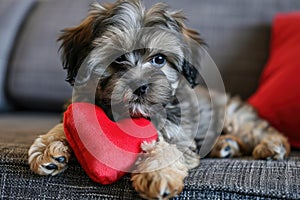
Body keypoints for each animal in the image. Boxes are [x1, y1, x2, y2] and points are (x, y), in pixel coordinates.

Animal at [28, 0, 290, 199]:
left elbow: (167, 148)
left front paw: (158, 174)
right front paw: (49, 149)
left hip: (232, 116)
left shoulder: (177, 131)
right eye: (118, 58)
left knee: (256, 129)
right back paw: (225, 146)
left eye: (160, 59)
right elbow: (63, 127)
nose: (140, 86)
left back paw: (270, 146)